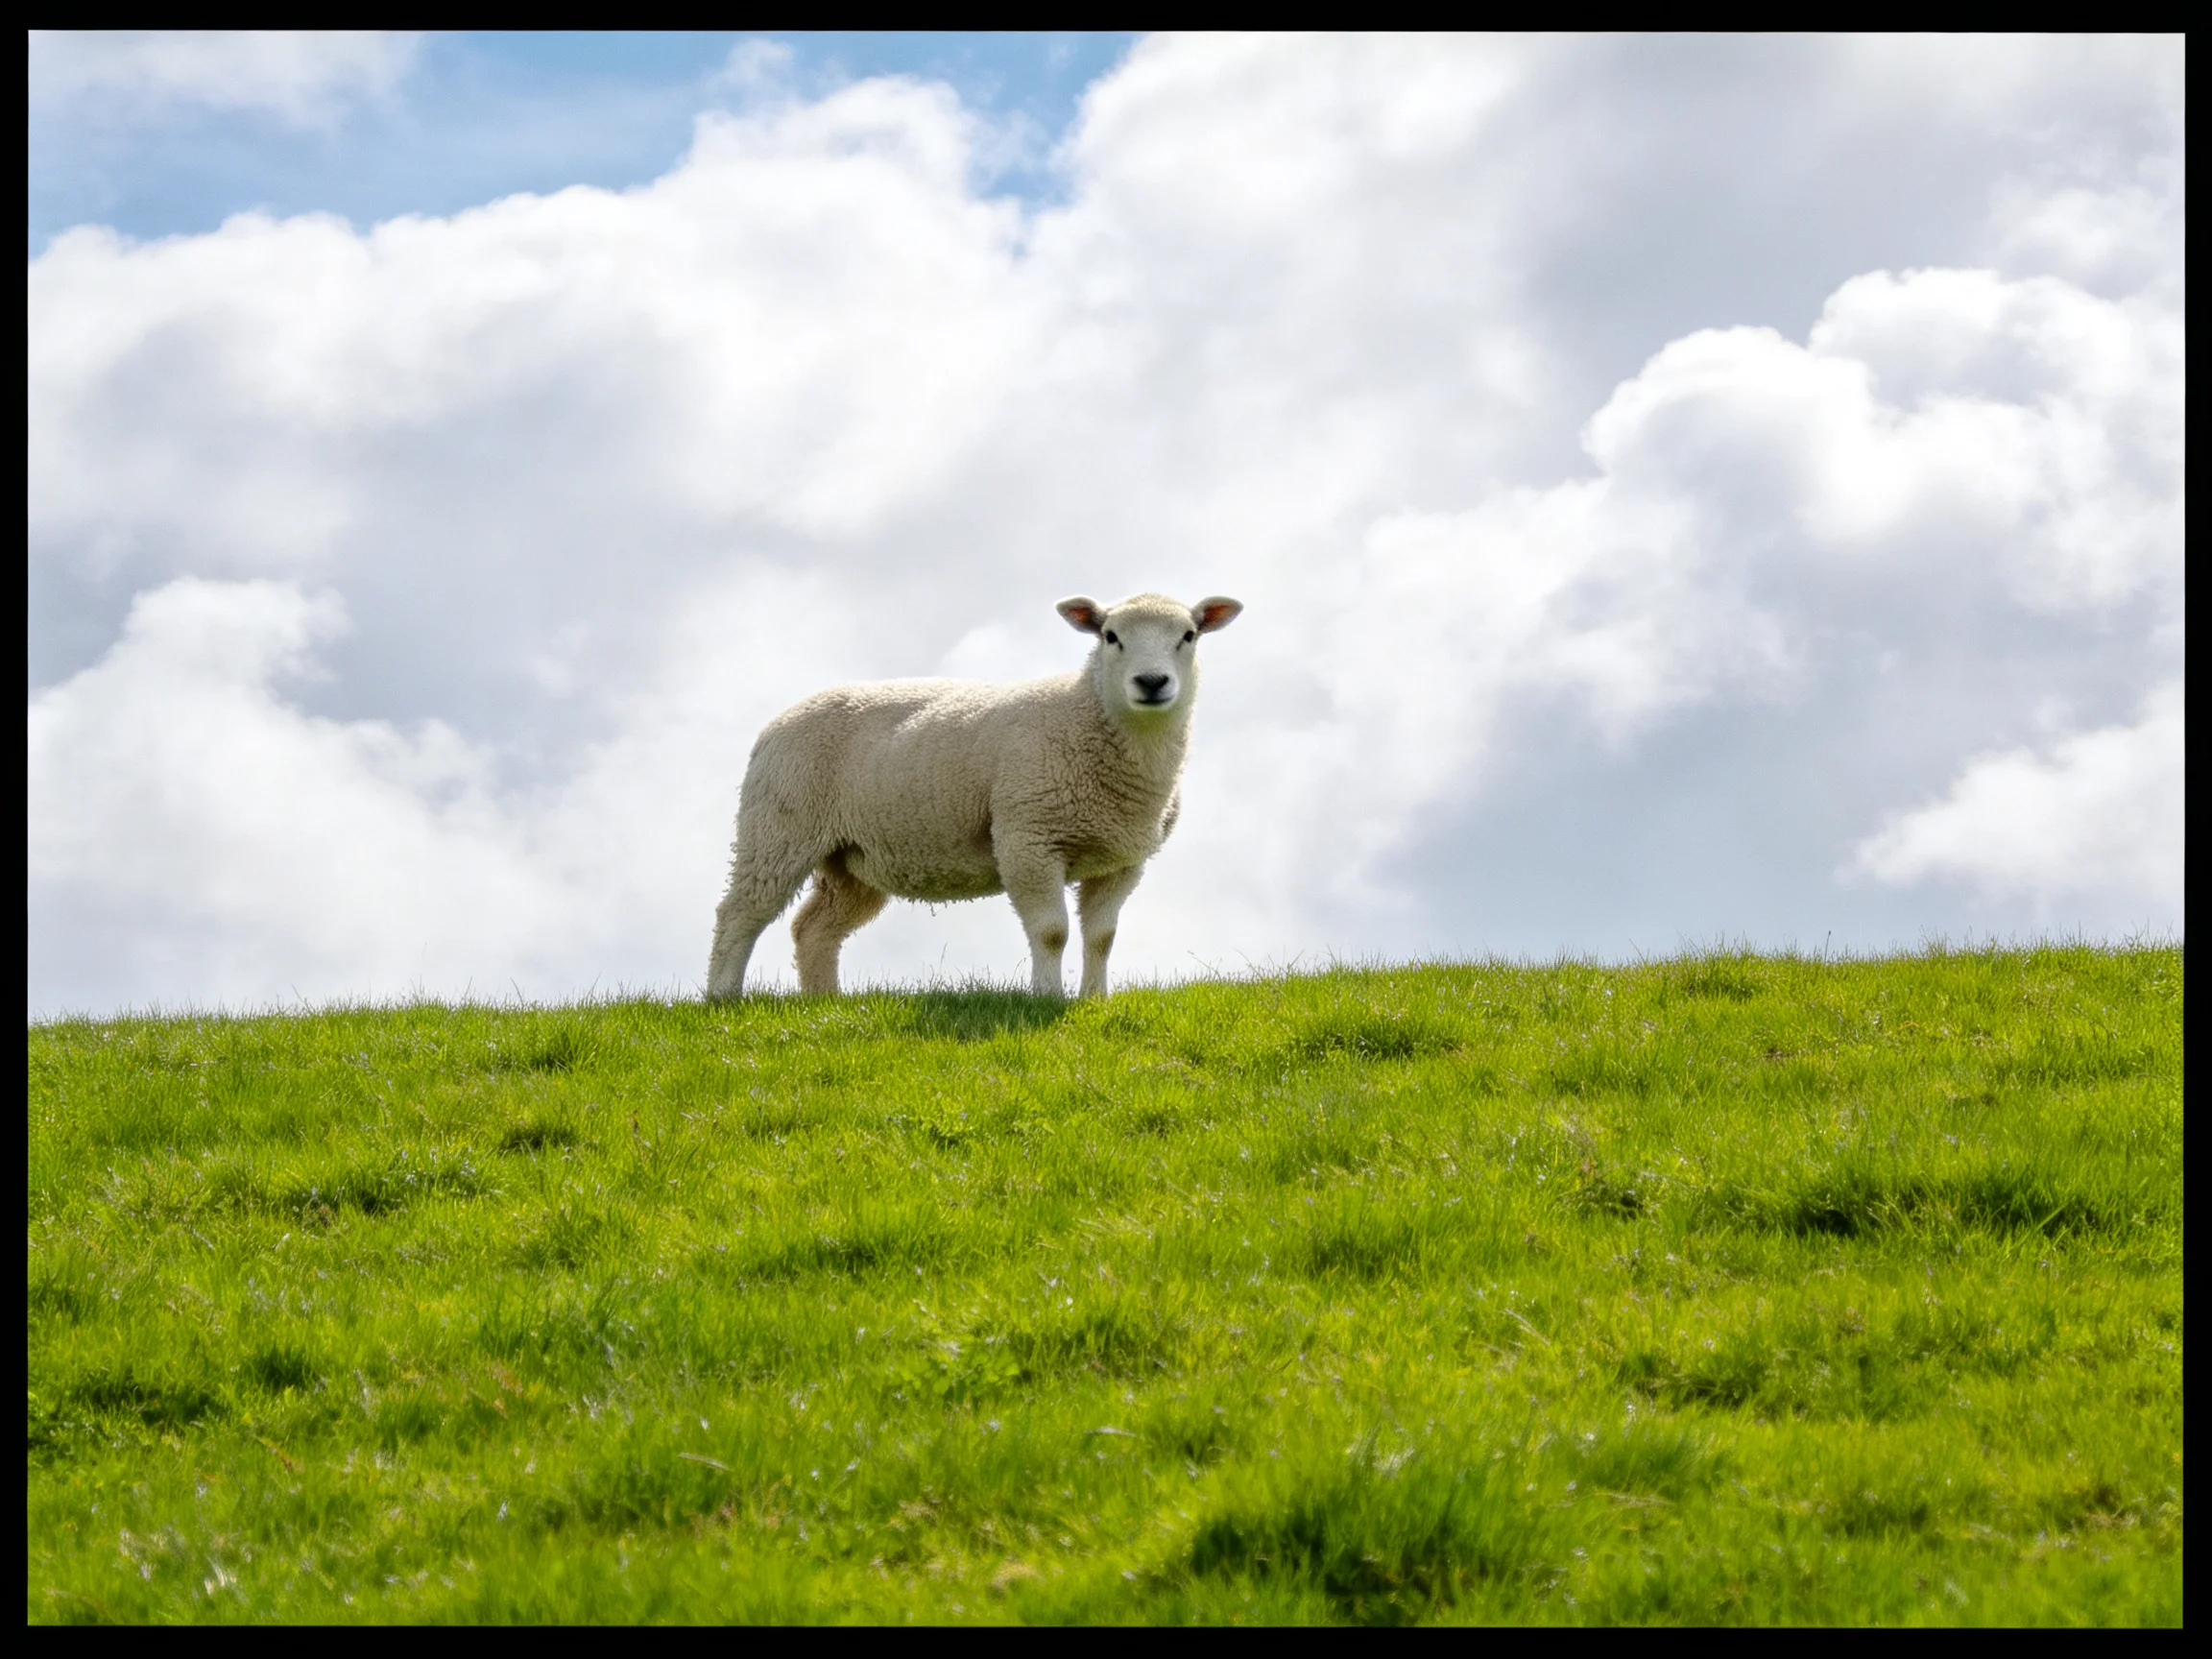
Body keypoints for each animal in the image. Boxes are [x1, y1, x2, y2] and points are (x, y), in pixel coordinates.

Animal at [706, 592, 1243, 1001]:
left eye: (1188, 636)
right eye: (1110, 637)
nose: (1152, 682)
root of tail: (776, 724)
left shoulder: (1122, 860)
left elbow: (1102, 938)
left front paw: (1093, 999)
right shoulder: (1027, 838)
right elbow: (1052, 931)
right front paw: (1046, 999)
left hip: (851, 857)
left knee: (813, 929)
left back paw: (823, 1003)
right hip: (779, 825)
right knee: (740, 913)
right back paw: (723, 999)